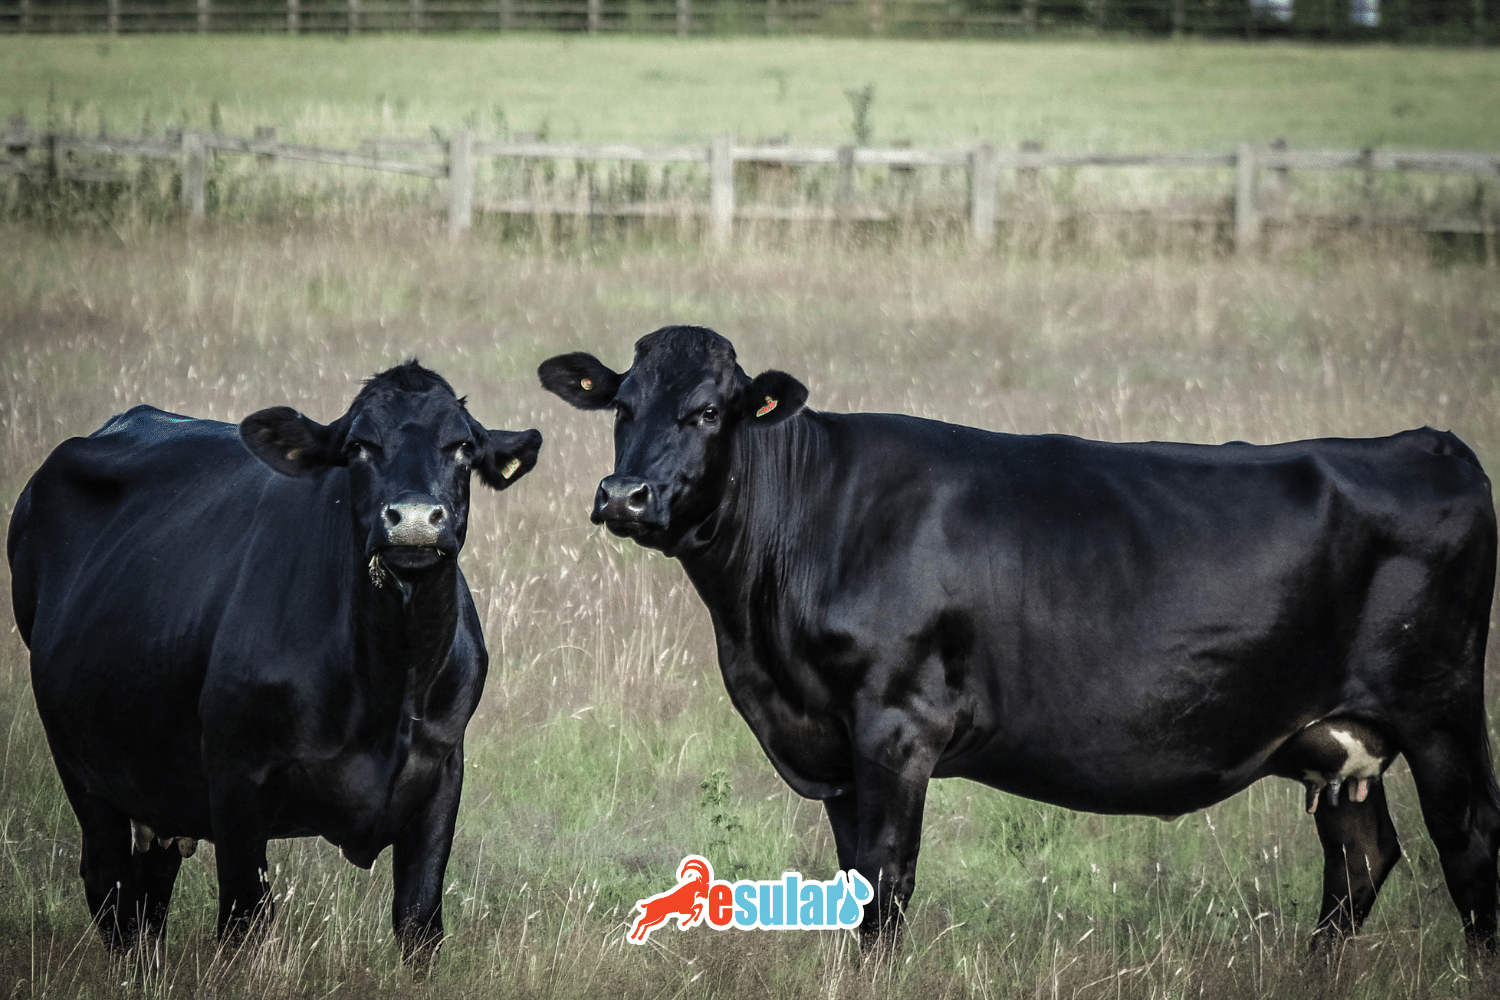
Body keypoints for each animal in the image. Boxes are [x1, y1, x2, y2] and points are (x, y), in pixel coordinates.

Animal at [7, 361, 542, 961]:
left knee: (149, 891)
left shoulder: (442, 774)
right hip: (78, 761)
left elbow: (419, 921)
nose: (413, 521)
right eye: (358, 446)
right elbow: (244, 920)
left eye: (464, 447)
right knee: (109, 883)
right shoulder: (236, 779)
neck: (390, 678)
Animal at [539, 325, 1499, 951]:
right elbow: (852, 884)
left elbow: (885, 885)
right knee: (1361, 859)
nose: (624, 496)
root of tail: (1429, 443)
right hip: (1341, 740)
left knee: (1469, 845)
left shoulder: (895, 728)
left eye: (709, 412)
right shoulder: (836, 748)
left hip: (1441, 709)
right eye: (620, 406)